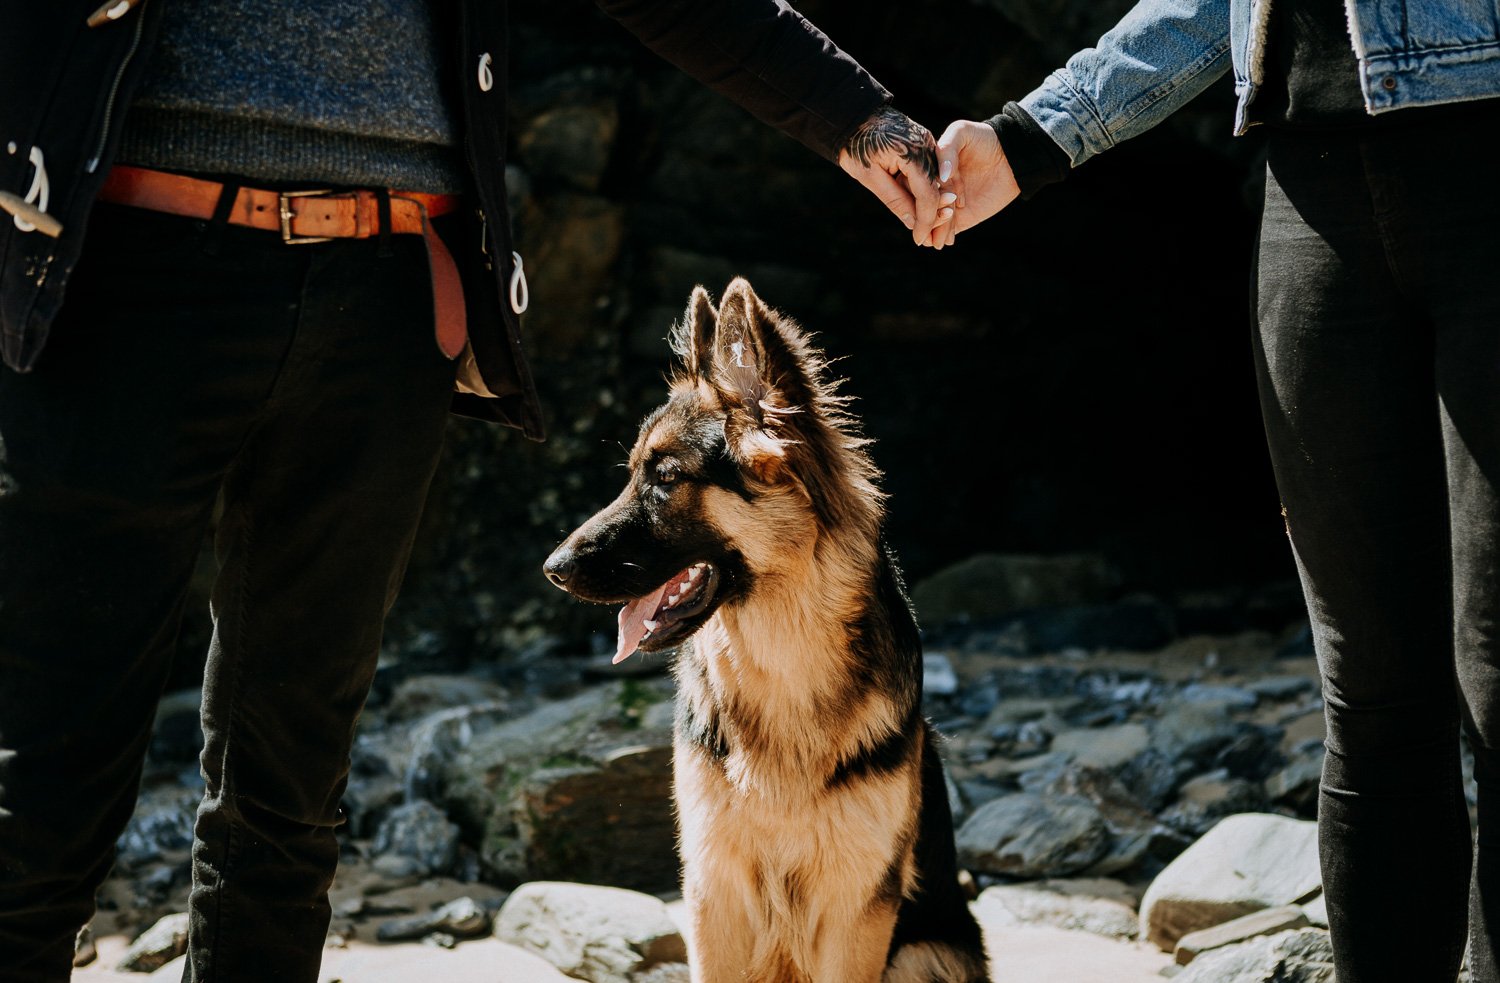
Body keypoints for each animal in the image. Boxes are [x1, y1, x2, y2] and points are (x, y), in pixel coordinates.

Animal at [546, 276, 990, 983]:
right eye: (634, 473)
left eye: (665, 479)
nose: (552, 568)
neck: (782, 664)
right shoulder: (714, 891)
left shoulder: (856, 909)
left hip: (928, 952)